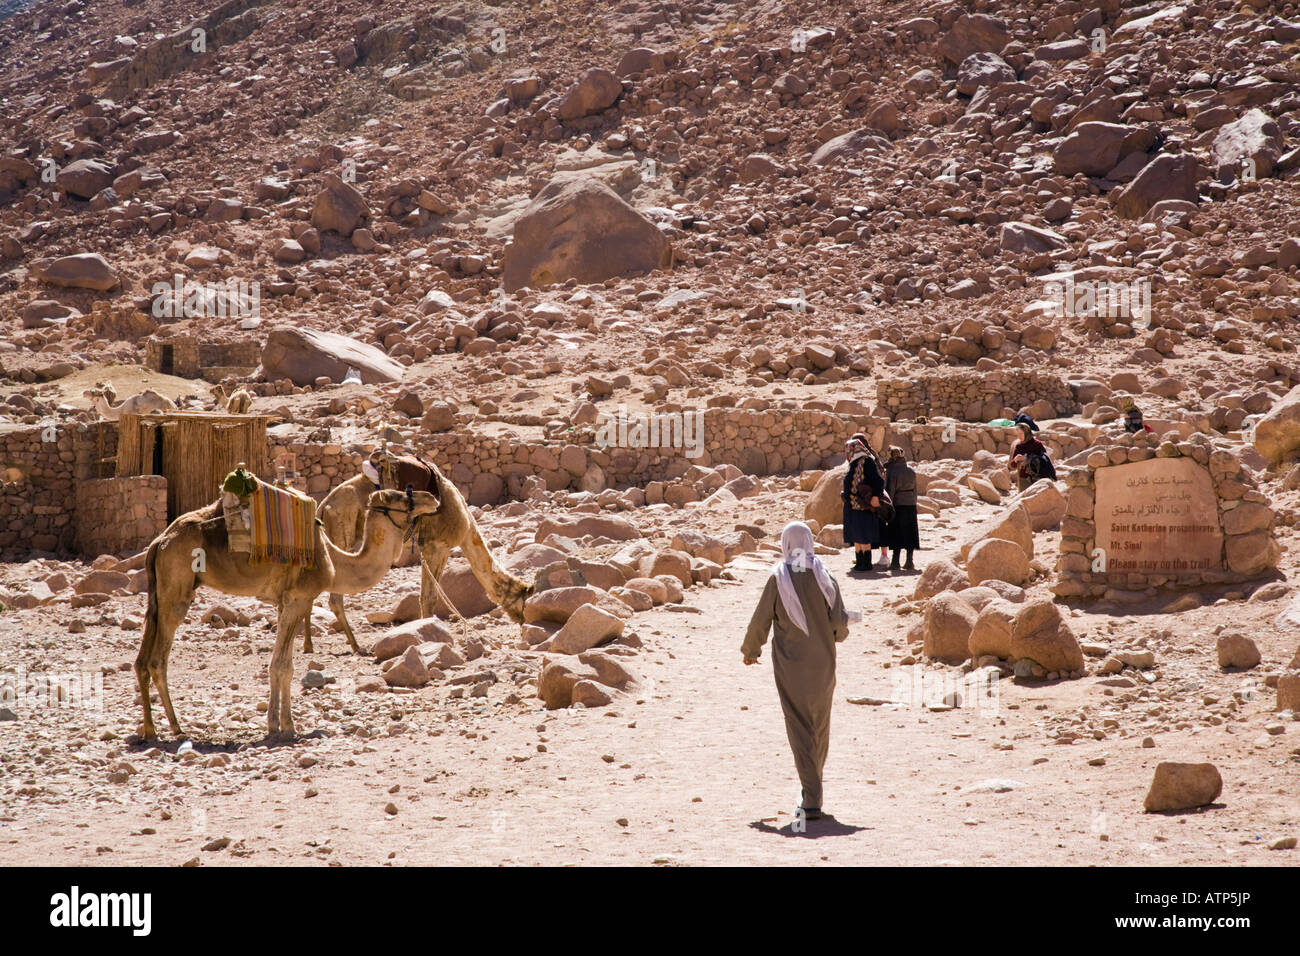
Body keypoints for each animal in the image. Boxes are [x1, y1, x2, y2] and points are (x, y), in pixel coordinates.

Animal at [136, 486, 441, 738]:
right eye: (399, 497)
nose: (432, 498)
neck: (333, 559)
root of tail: (159, 542)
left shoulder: (288, 601)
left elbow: (282, 664)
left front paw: (277, 724)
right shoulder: (297, 598)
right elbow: (282, 665)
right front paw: (285, 726)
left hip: (159, 594)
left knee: (142, 660)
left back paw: (150, 730)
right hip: (177, 588)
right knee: (157, 660)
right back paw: (176, 728)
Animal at [315, 450, 533, 650]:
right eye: (525, 600)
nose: (524, 621)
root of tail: (324, 507)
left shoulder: (427, 548)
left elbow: (425, 596)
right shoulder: (437, 547)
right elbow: (429, 598)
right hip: (343, 530)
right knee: (336, 594)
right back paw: (357, 646)